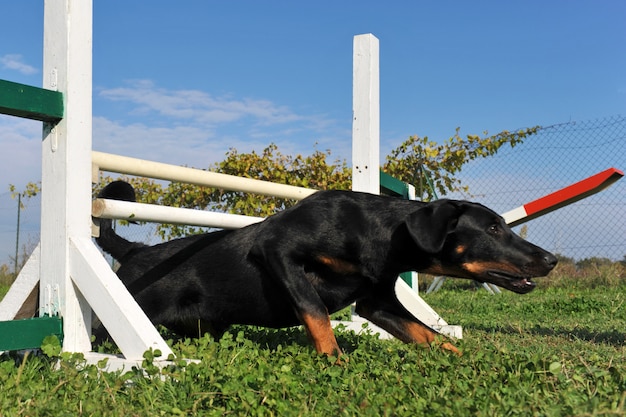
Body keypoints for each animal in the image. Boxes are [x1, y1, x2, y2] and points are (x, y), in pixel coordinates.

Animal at [94, 180, 556, 354]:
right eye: (493, 228)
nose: (550, 260)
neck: (380, 234)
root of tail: (133, 251)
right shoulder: (279, 251)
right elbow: (314, 311)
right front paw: (335, 360)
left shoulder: (377, 301)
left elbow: (426, 334)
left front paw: (465, 359)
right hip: (115, 322)